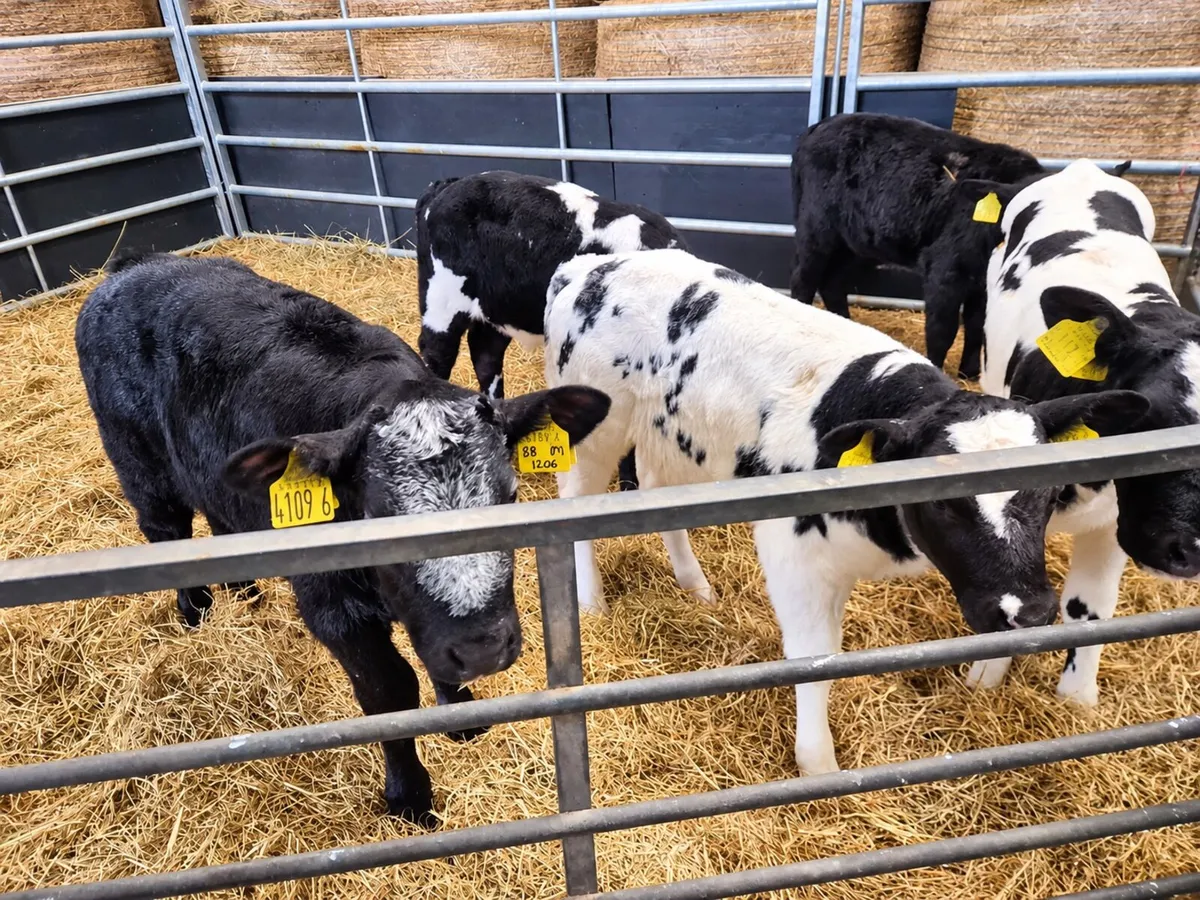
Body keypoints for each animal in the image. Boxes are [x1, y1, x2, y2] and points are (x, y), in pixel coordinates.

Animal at [75, 252, 610, 825]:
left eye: (509, 494)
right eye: (378, 513)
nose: (482, 650)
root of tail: (136, 266)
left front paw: (461, 712)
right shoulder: (334, 607)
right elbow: (388, 693)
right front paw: (410, 795)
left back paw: (245, 594)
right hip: (140, 465)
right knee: (165, 528)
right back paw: (195, 612)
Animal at [543, 247, 1148, 776]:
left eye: (1048, 493)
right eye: (943, 497)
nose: (1029, 612)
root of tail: (589, 267)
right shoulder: (794, 553)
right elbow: (816, 660)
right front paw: (818, 765)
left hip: (674, 435)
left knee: (654, 490)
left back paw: (695, 585)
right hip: (594, 431)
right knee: (575, 504)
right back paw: (590, 601)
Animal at [789, 112, 1045, 381]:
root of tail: (821, 125)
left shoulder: (982, 284)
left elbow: (976, 326)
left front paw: (969, 373)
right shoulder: (945, 269)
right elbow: (942, 329)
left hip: (854, 242)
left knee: (833, 283)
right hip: (815, 228)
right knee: (804, 279)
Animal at [969, 158, 1200, 706]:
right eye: (1148, 415)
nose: (1192, 550)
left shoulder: (1113, 522)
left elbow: (1088, 608)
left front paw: (1077, 697)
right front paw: (986, 676)